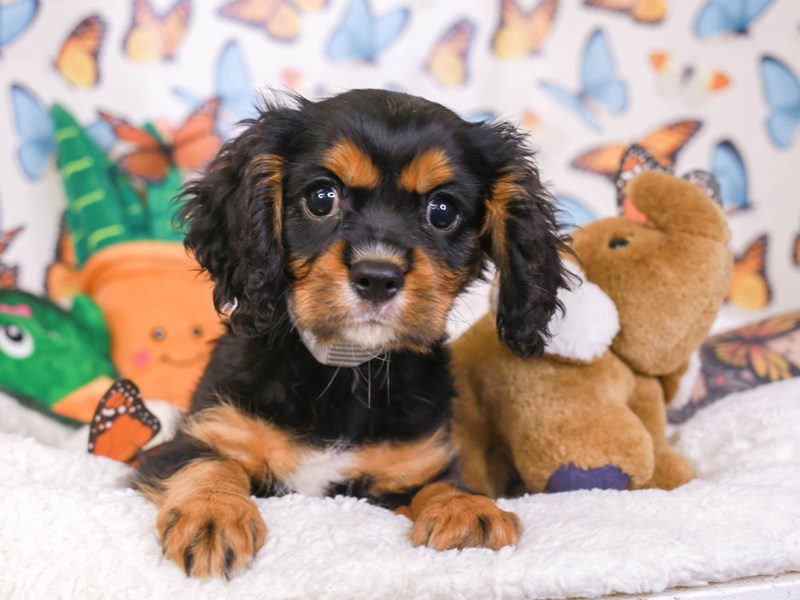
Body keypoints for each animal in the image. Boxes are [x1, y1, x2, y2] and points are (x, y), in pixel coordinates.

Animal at [134, 89, 564, 576]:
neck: (345, 368)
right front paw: (212, 514)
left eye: (442, 211)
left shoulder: (405, 469)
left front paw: (467, 511)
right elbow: (208, 463)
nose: (377, 278)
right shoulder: (195, 438)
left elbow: (439, 483)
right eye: (322, 198)